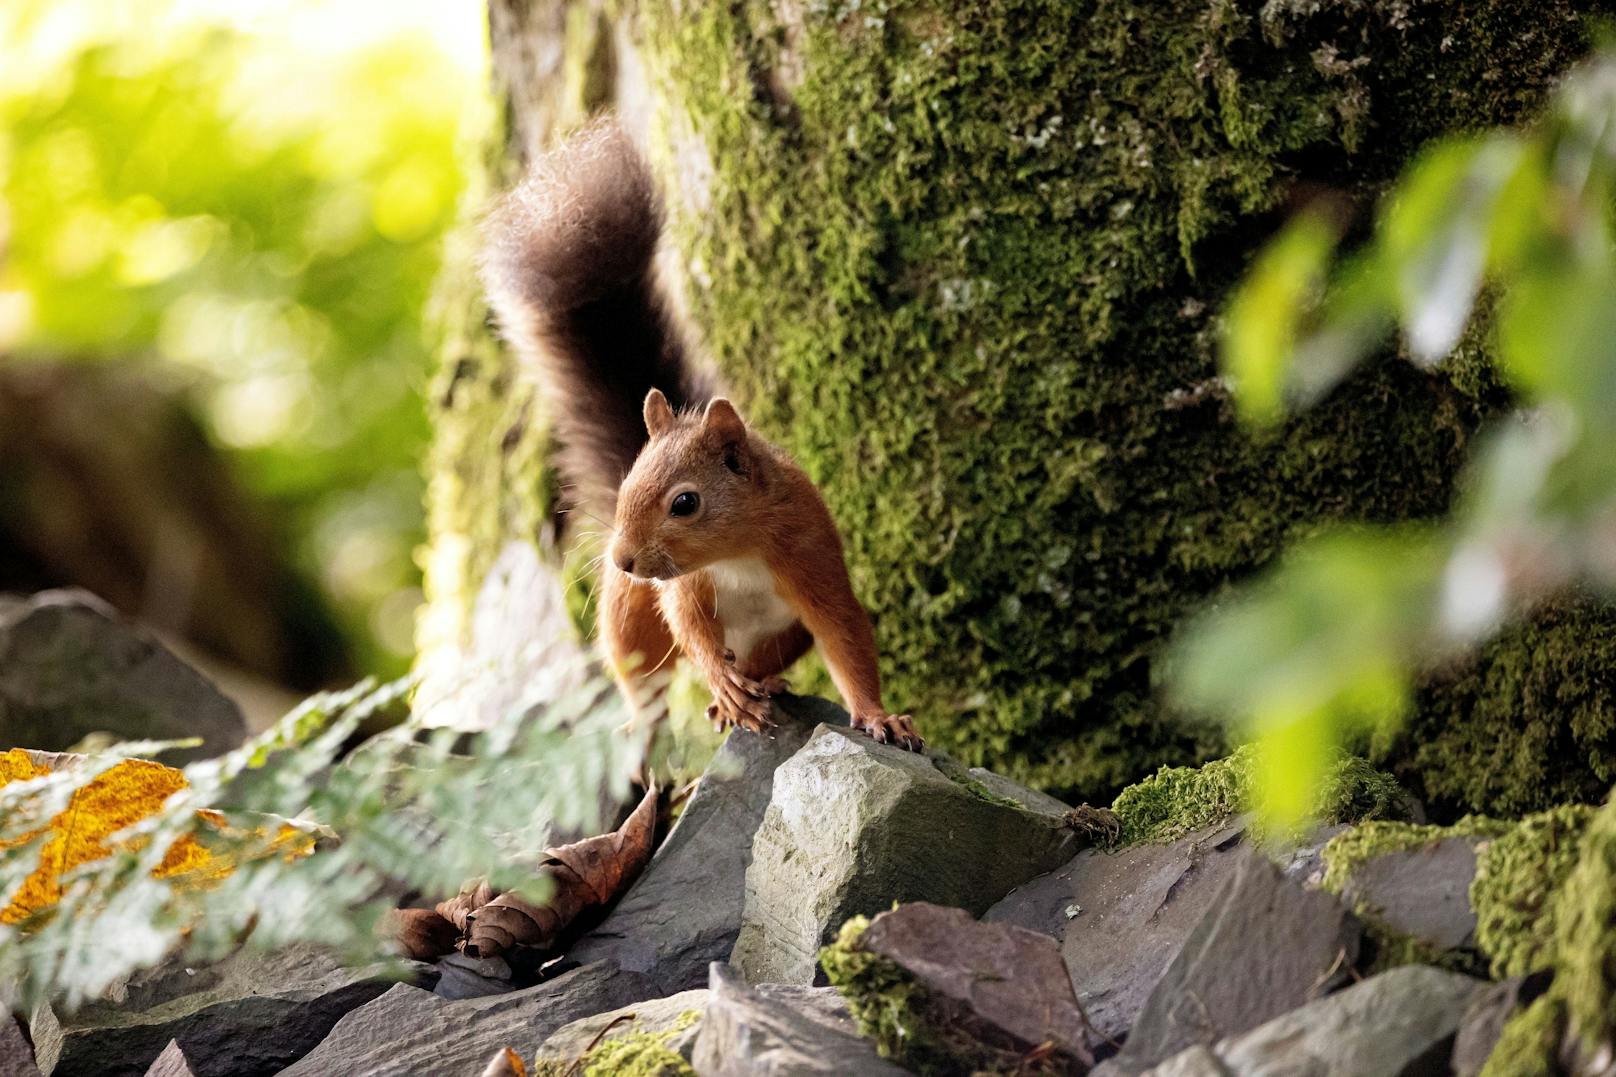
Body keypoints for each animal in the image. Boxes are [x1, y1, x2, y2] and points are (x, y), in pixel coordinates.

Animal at [478, 121, 924, 750]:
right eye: (625, 487)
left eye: (685, 503)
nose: (623, 559)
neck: (736, 554)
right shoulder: (685, 587)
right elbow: (690, 630)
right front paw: (720, 679)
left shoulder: (811, 561)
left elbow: (846, 639)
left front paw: (880, 717)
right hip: (629, 613)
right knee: (642, 671)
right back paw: (663, 720)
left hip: (781, 636)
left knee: (762, 662)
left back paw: (755, 690)